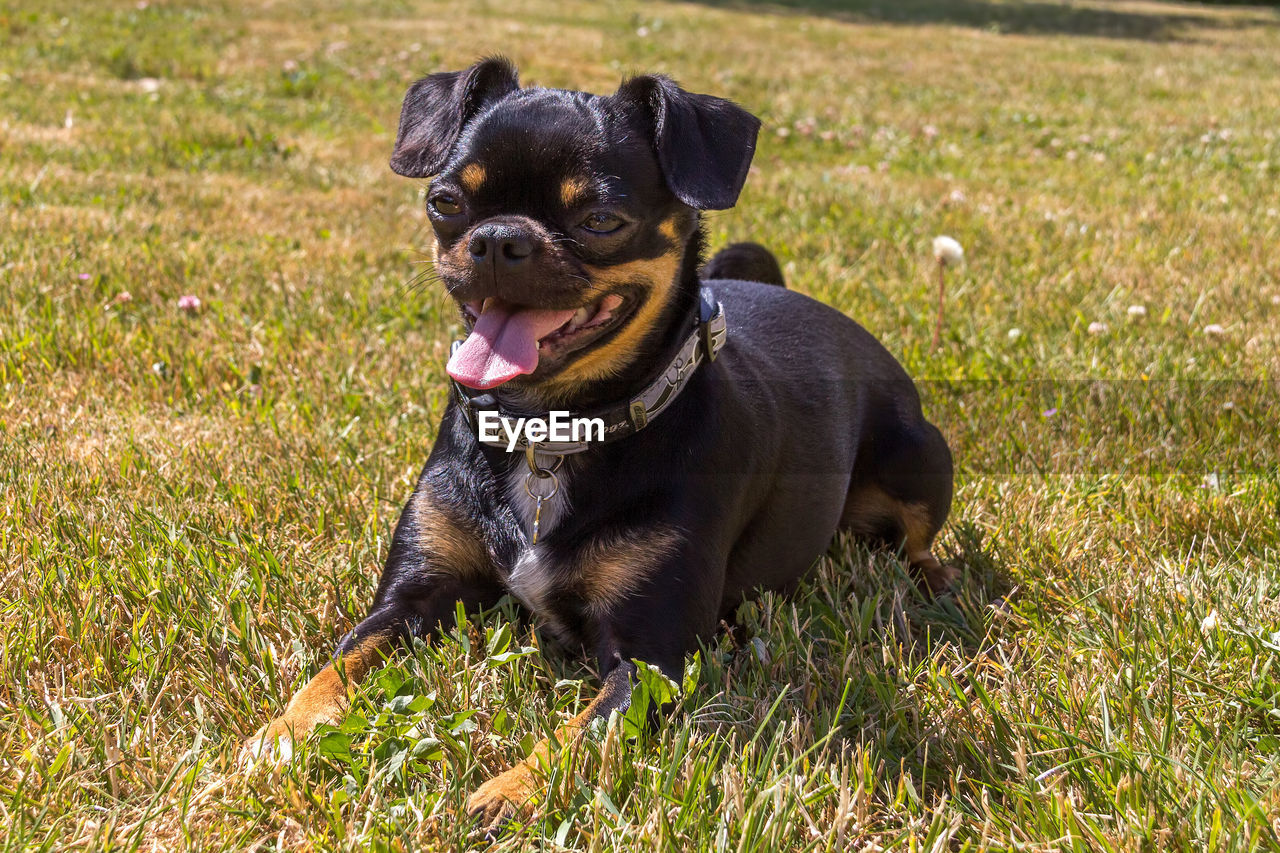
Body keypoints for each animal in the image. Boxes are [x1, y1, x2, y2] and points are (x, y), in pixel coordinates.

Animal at [244, 58, 957, 829]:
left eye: (600, 221)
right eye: (445, 203)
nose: (499, 238)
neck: (549, 434)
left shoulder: (648, 659)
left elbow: (582, 733)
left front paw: (510, 791)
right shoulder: (413, 599)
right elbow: (336, 667)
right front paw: (275, 736)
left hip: (918, 457)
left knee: (919, 538)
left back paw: (935, 581)